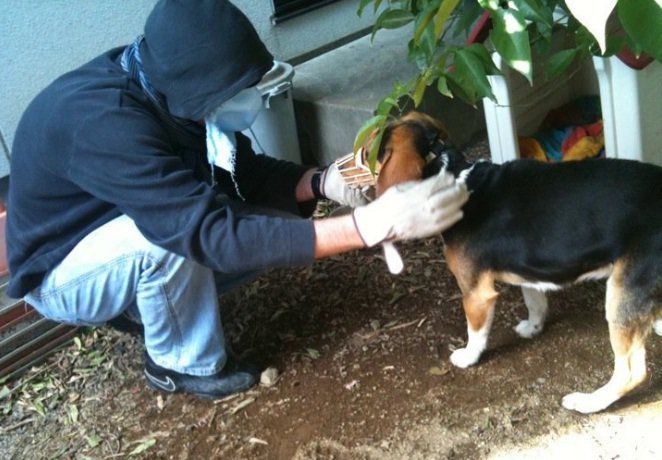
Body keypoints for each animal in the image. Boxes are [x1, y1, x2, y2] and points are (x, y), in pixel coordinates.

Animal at [374, 110, 662, 414]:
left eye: (378, 147)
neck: (455, 180)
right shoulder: (529, 268)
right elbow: (534, 302)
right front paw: (533, 328)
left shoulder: (476, 293)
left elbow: (476, 332)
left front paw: (468, 357)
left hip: (622, 296)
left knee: (631, 373)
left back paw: (588, 402)